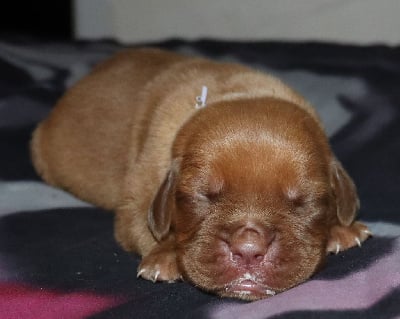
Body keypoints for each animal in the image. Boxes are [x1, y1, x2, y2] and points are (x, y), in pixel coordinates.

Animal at [32, 47, 372, 300]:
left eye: (303, 201)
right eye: (204, 196)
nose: (249, 251)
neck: (239, 92)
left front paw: (342, 229)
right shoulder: (136, 197)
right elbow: (142, 225)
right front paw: (165, 255)